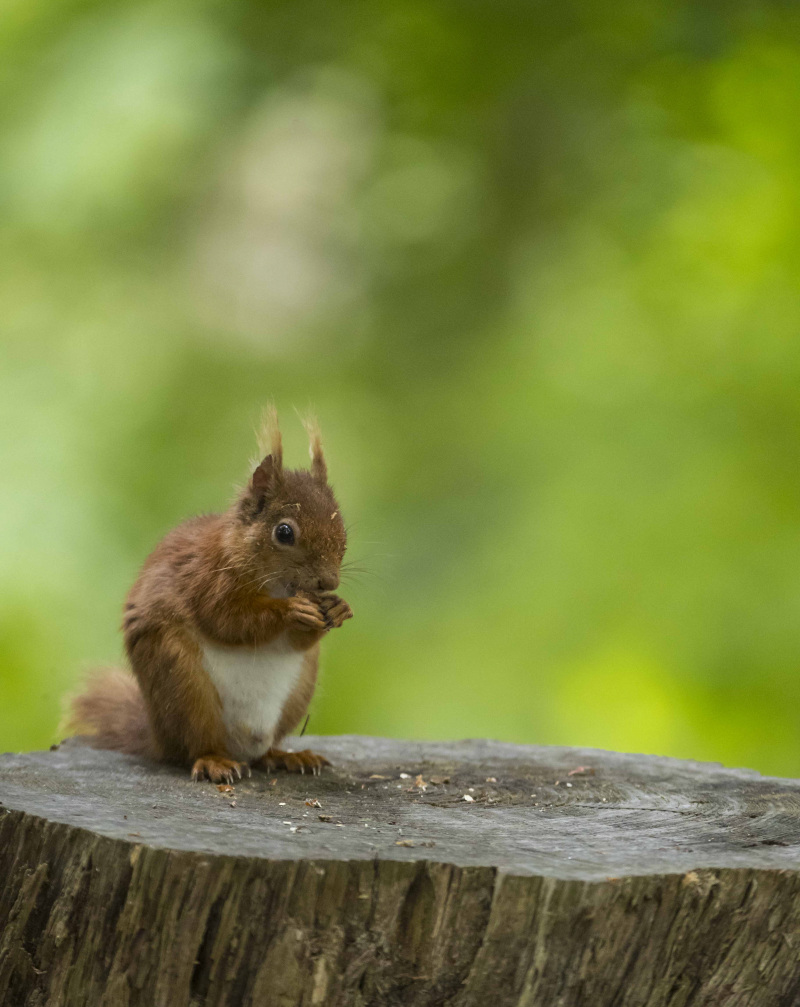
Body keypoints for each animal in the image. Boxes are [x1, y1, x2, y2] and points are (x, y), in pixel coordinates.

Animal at [69, 412, 352, 781]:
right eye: (284, 532)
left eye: (343, 527)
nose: (328, 582)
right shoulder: (205, 580)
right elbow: (228, 621)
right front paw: (291, 611)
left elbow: (297, 641)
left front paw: (338, 608)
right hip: (181, 682)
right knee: (197, 745)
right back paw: (215, 762)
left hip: (298, 690)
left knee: (263, 752)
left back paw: (286, 756)